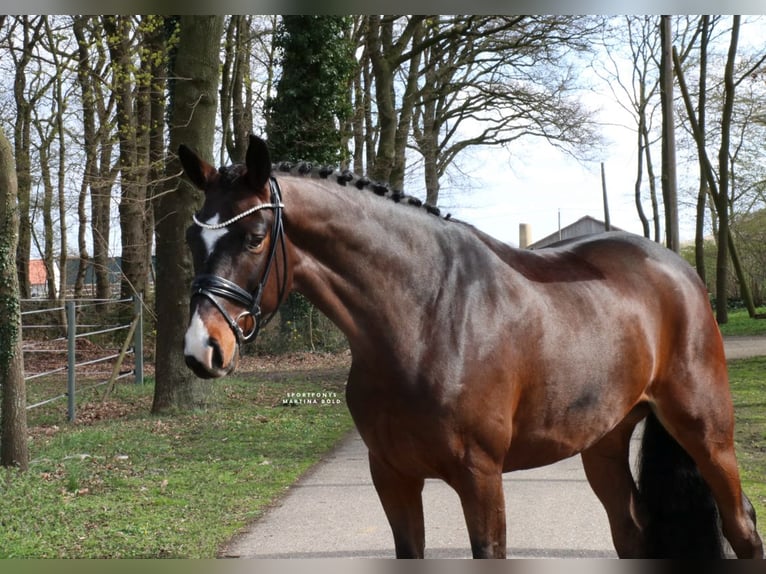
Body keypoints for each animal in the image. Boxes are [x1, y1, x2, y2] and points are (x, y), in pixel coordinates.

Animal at [180, 134, 763, 559]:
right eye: (191, 239)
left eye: (255, 237)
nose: (201, 349)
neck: (426, 318)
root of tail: (678, 269)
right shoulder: (391, 477)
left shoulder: (480, 479)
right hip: (604, 442)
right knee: (632, 530)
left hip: (707, 434)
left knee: (743, 526)